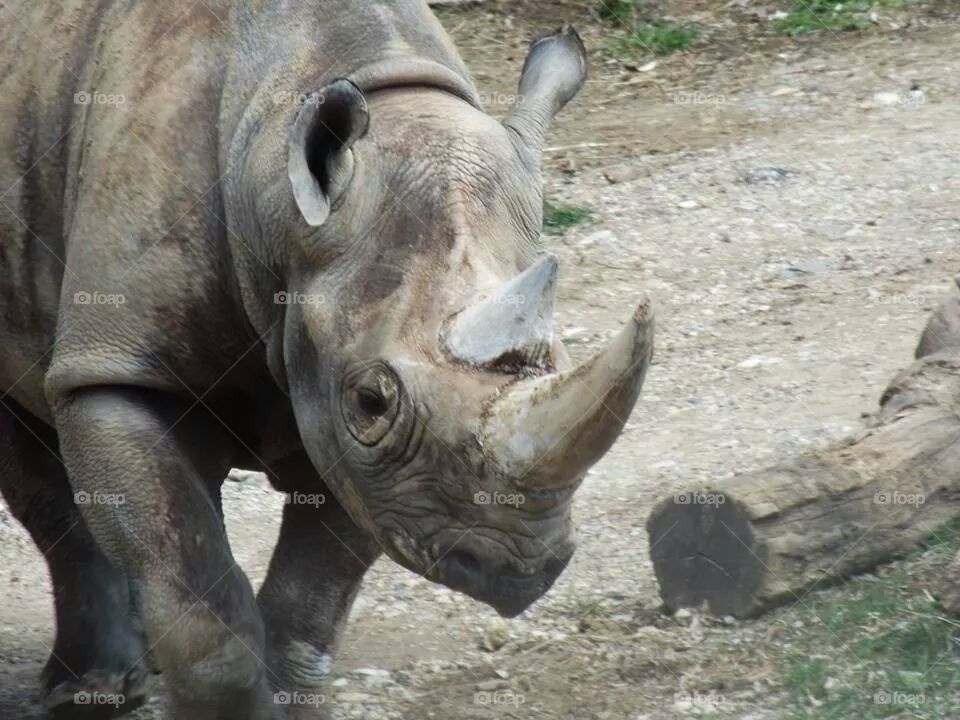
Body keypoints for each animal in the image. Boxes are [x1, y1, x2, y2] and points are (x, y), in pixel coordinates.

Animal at [0, 1, 654, 718]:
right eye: (371, 401)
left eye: (558, 358)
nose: (519, 569)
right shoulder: (114, 367)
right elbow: (198, 598)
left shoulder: (369, 457)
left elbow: (312, 595)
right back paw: (93, 690)